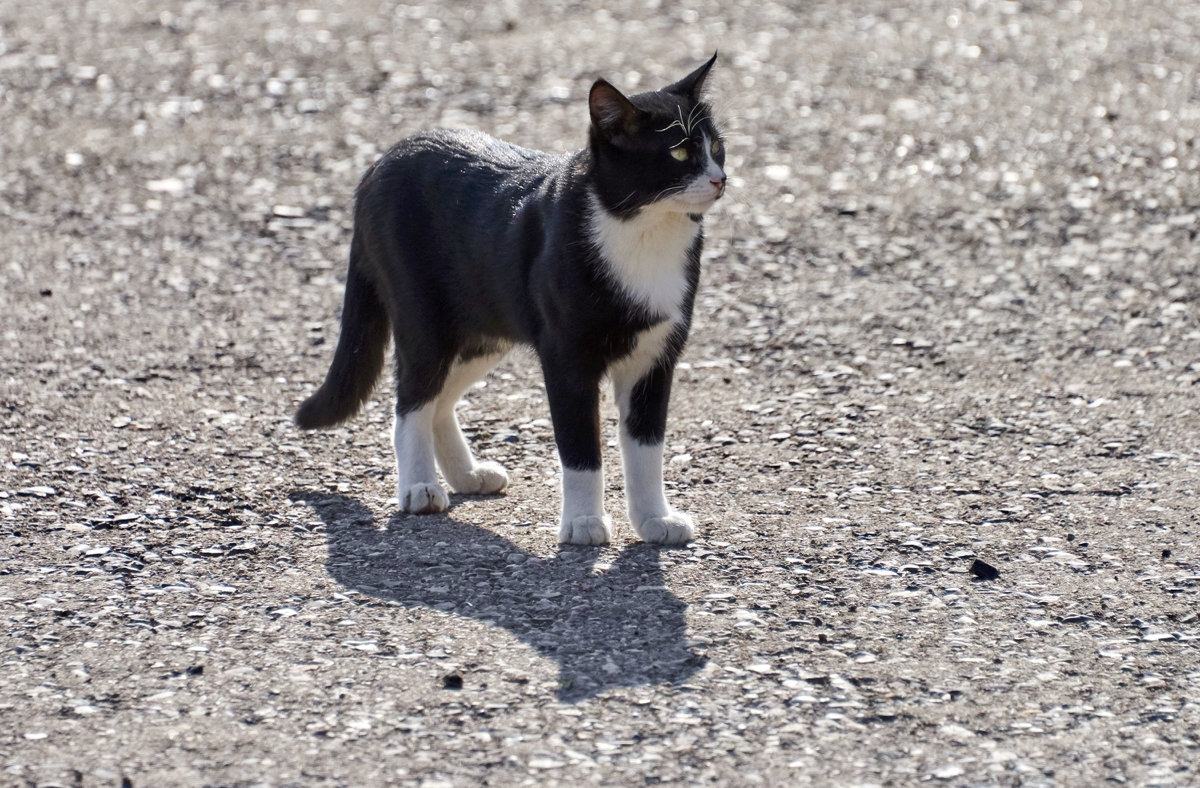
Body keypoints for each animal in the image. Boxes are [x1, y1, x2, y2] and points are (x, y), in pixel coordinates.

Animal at [297, 55, 729, 544]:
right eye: (678, 153)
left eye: (716, 145)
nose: (719, 179)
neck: (643, 232)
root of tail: (378, 165)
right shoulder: (566, 357)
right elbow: (580, 448)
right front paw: (583, 522)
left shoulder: (655, 357)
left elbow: (646, 448)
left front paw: (655, 519)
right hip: (425, 323)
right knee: (411, 400)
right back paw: (419, 486)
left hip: (485, 330)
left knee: (440, 399)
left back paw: (467, 474)